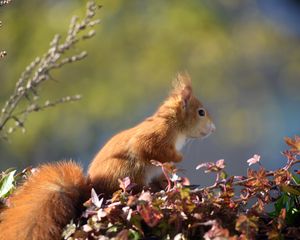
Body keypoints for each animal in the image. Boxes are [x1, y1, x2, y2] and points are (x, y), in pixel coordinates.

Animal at [0, 72, 216, 239]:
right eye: (201, 112)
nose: (213, 129)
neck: (174, 124)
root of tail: (90, 190)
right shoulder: (156, 134)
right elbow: (148, 148)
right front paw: (178, 158)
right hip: (128, 173)